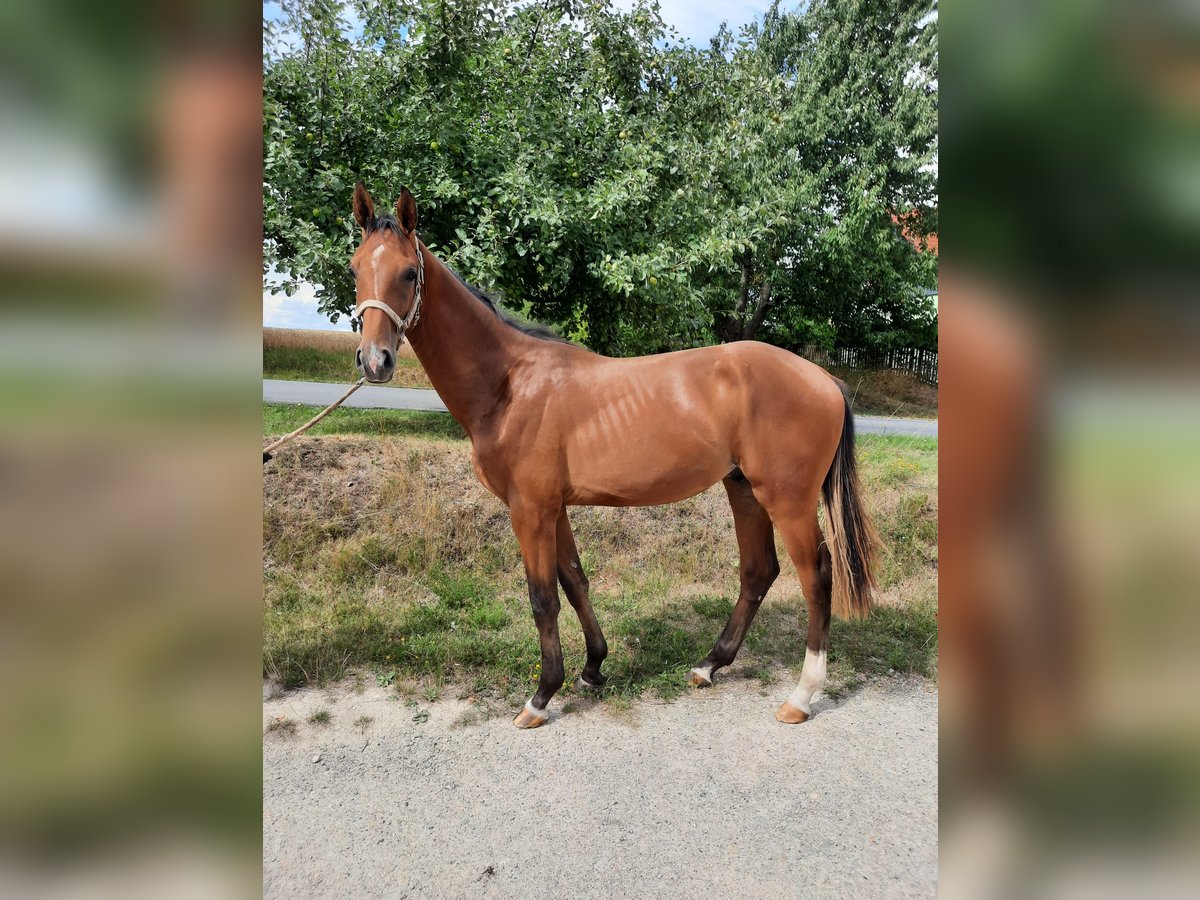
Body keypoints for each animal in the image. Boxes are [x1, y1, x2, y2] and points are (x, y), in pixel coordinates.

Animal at [348, 183, 878, 728]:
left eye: (409, 273)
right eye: (354, 268)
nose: (374, 361)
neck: (509, 384)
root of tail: (825, 380)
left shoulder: (529, 509)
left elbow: (543, 598)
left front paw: (541, 696)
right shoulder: (553, 507)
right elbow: (575, 582)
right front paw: (593, 667)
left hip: (787, 499)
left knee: (816, 575)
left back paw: (801, 696)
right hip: (744, 489)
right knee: (759, 571)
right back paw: (709, 665)